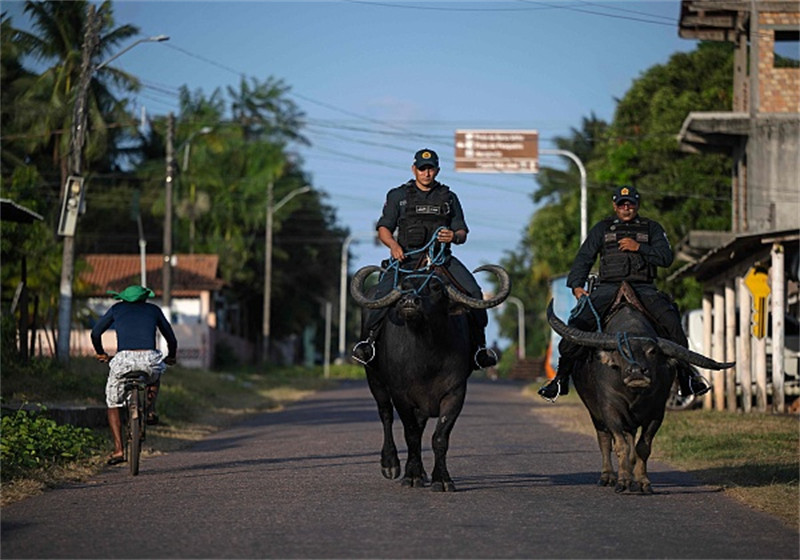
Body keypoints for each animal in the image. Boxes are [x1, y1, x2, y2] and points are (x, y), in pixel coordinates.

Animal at [350, 262, 512, 490]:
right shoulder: (401, 395)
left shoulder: (455, 393)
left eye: (435, 288)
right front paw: (411, 476)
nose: (409, 301)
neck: (426, 356)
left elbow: (439, 437)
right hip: (374, 377)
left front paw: (441, 479)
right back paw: (390, 464)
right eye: (405, 286)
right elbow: (411, 435)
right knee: (385, 414)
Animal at [548, 282, 736, 492]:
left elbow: (642, 447)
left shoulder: (656, 412)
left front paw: (642, 481)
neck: (635, 393)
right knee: (604, 440)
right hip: (594, 411)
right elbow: (619, 445)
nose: (637, 372)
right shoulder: (609, 409)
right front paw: (622, 481)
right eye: (622, 351)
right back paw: (608, 476)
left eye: (652, 351)